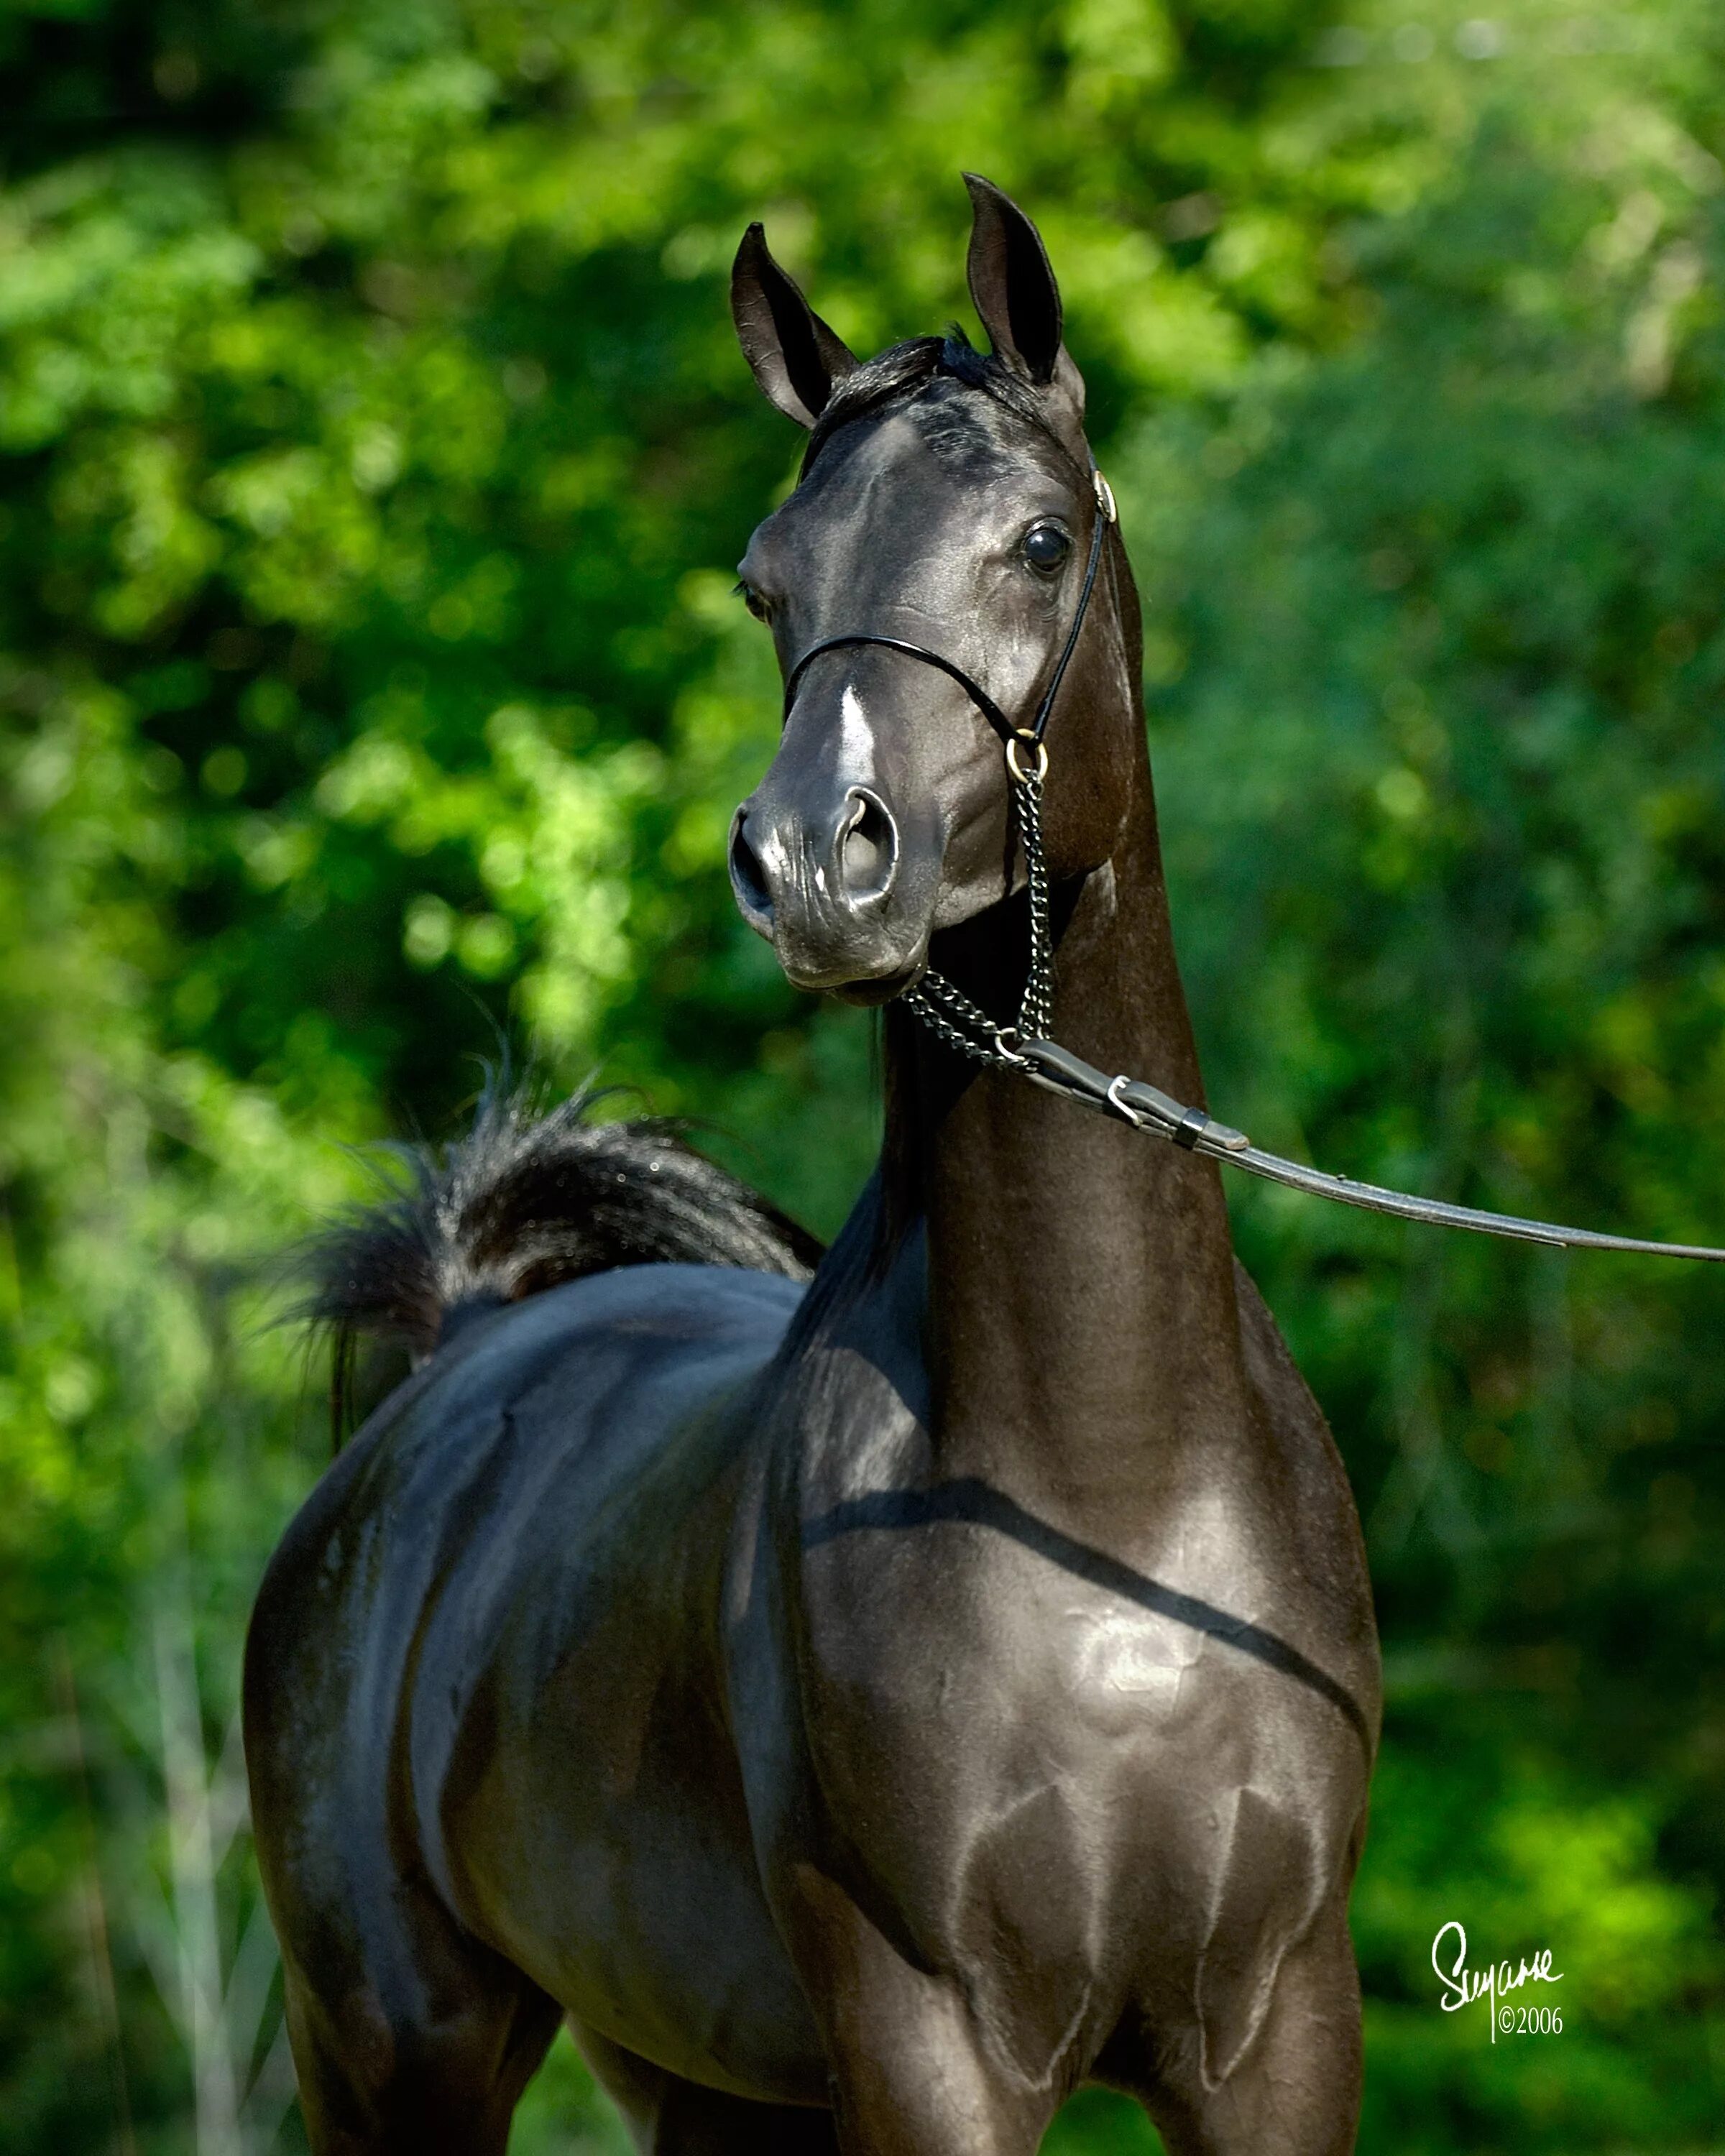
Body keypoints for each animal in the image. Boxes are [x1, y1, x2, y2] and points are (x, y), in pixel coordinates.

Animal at [246, 181, 1371, 2156]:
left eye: (1036, 541)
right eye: (767, 579)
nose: (815, 863)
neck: (1105, 1489)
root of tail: (455, 1358)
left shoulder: (1274, 2032)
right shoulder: (927, 2046)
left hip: (704, 2078)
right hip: (393, 2051)